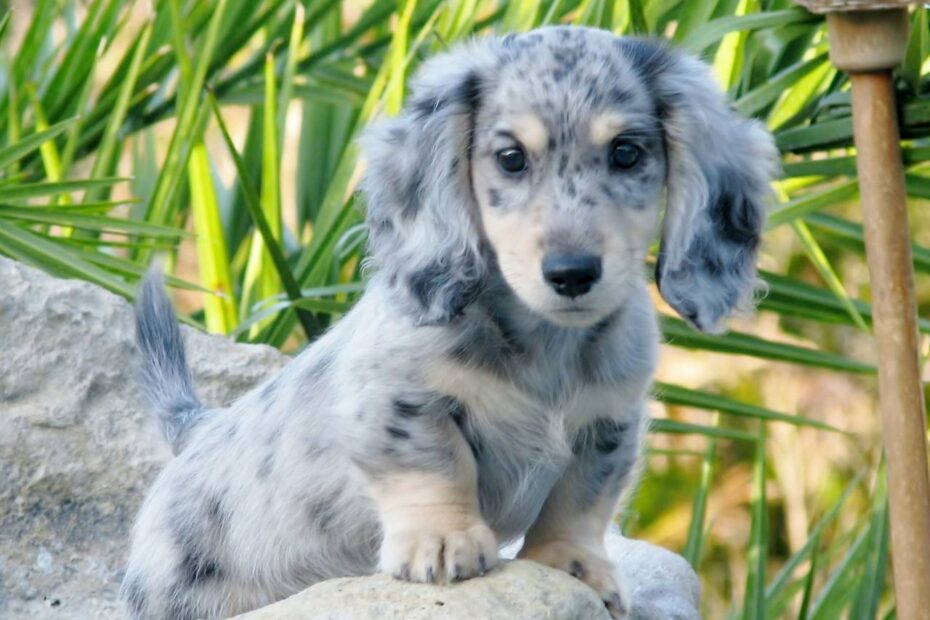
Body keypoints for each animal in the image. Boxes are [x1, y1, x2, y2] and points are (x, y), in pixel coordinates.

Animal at [123, 25, 776, 620]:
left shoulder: (609, 422)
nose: (572, 272)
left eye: (626, 152)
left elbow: (580, 498)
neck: (545, 345)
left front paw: (571, 563)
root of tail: (195, 430)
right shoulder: (401, 402)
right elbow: (435, 466)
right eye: (511, 159)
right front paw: (442, 542)